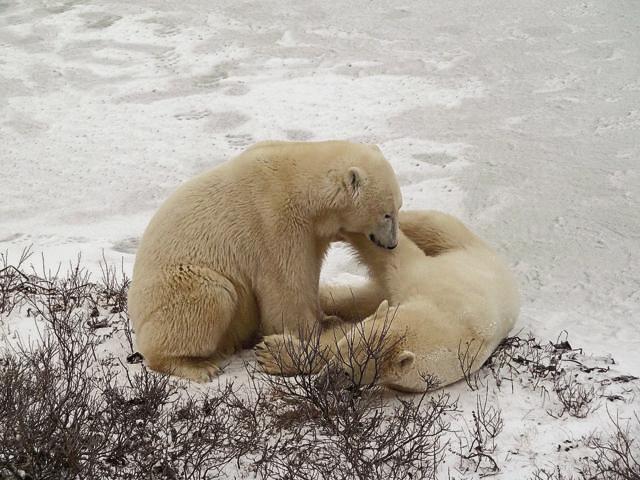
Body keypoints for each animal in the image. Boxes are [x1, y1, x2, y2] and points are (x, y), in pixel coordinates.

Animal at [127, 140, 403, 382]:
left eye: (398, 208)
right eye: (386, 214)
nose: (392, 244)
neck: (299, 183)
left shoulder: (312, 234)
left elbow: (309, 274)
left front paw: (327, 319)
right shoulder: (275, 222)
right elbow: (286, 285)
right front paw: (312, 332)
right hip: (175, 287)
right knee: (212, 296)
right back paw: (197, 366)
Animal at [255, 210, 520, 392]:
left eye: (350, 373)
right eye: (342, 351)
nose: (322, 383)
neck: (446, 319)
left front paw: (270, 353)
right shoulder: (425, 282)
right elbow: (394, 258)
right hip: (465, 249)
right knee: (433, 225)